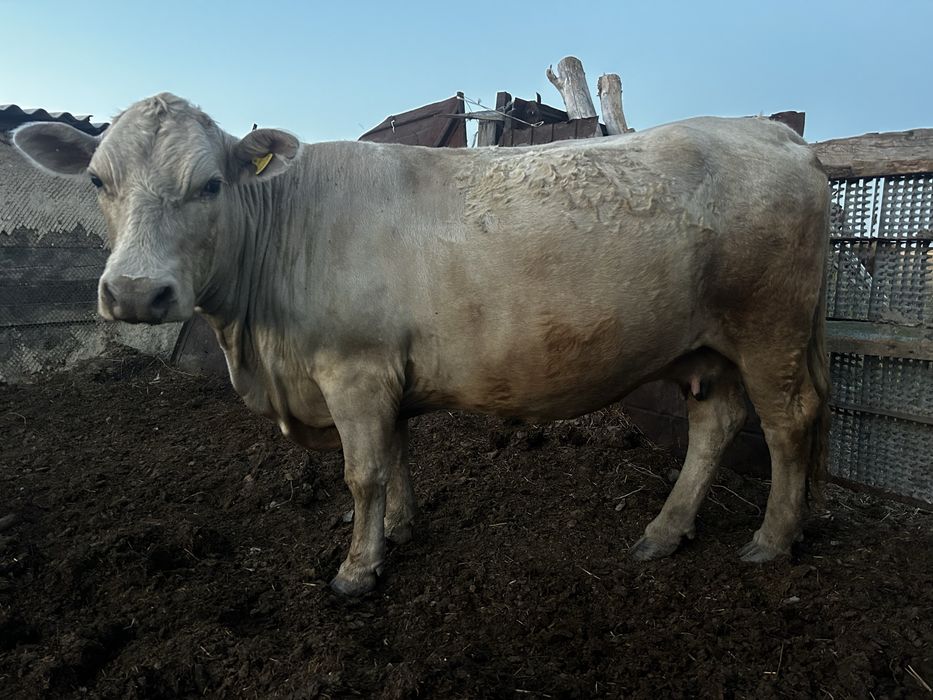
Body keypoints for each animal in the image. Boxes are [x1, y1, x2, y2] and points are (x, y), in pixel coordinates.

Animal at [13, 93, 831, 596]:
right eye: (97, 179)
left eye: (211, 184)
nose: (133, 293)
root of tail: (776, 133)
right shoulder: (386, 377)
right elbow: (397, 457)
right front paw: (401, 532)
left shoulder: (353, 370)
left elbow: (363, 474)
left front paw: (357, 568)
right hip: (711, 344)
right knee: (715, 423)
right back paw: (665, 531)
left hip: (770, 327)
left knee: (788, 421)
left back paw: (772, 538)